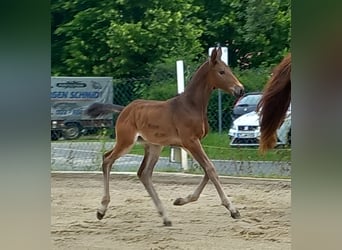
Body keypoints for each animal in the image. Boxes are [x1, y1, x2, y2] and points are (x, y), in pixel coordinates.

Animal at [86, 46, 246, 226]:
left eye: (229, 70)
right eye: (221, 72)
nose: (240, 89)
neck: (191, 106)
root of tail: (124, 110)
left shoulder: (191, 143)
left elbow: (207, 169)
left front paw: (181, 200)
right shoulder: (191, 142)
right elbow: (210, 169)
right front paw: (233, 209)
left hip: (153, 145)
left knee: (144, 173)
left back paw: (165, 216)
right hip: (126, 141)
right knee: (107, 160)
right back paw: (101, 210)